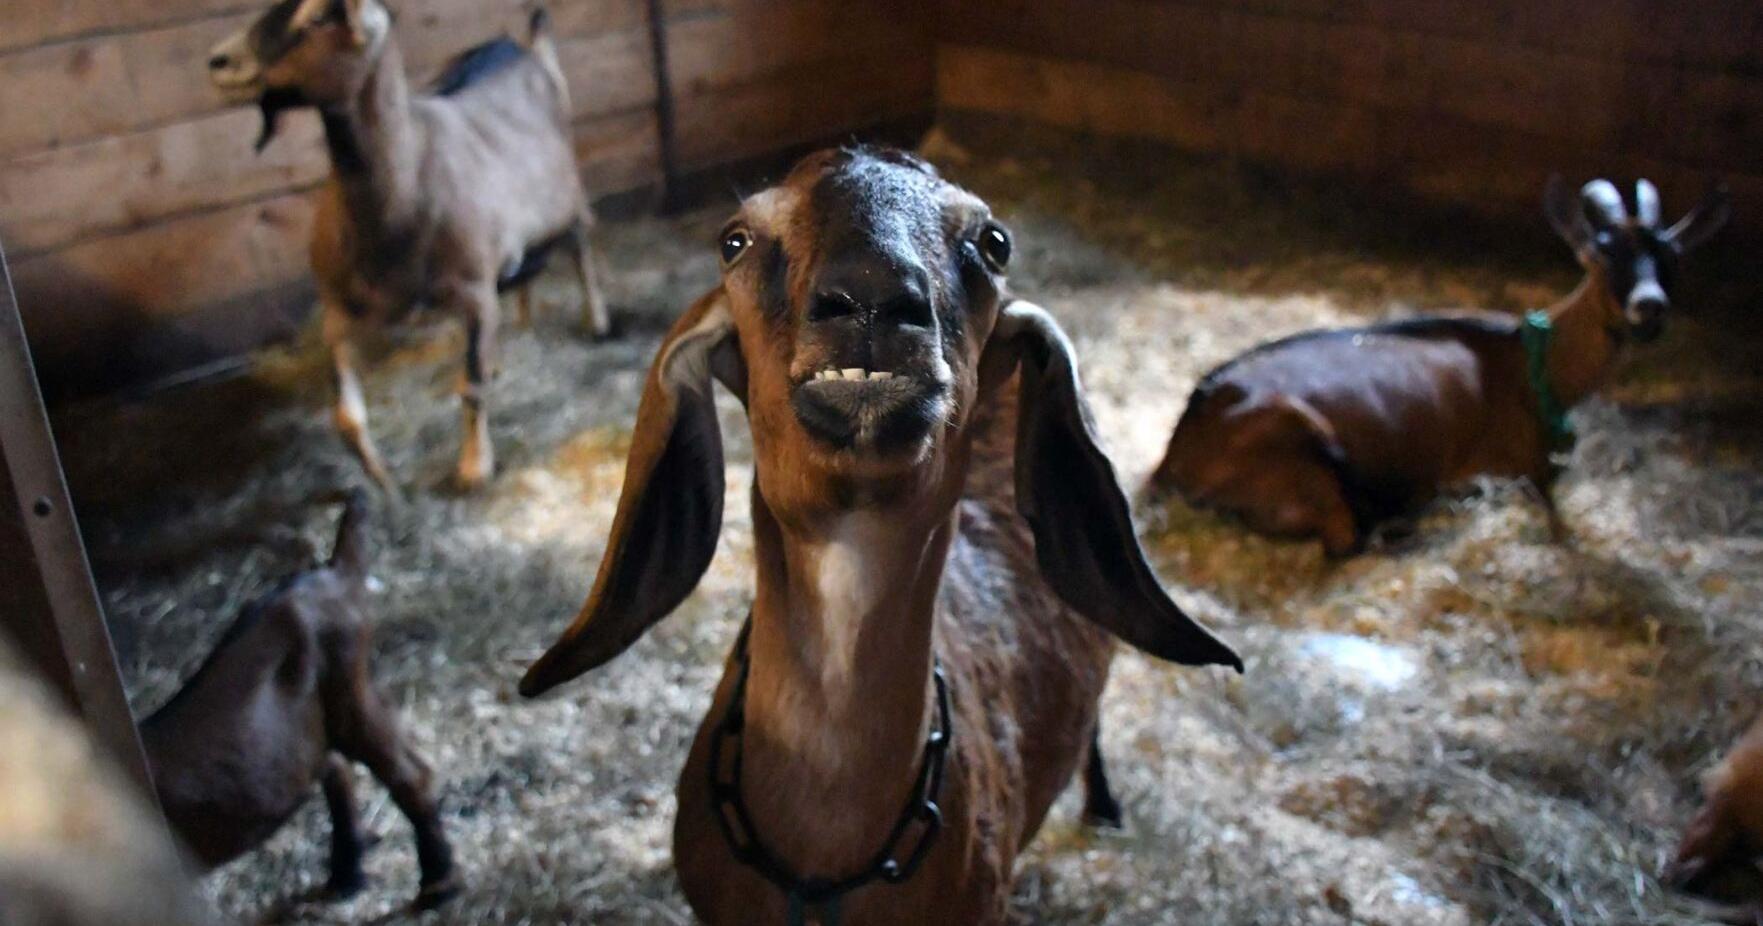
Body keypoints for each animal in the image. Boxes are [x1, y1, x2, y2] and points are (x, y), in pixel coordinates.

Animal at [140, 492, 460, 909]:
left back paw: (439, 883)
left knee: (405, 771)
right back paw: (346, 877)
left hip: (348, 688)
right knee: (337, 766)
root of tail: (333, 571)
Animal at [207, 0, 612, 494]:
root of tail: (526, 48)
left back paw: (596, 320)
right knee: (521, 273)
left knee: (580, 243)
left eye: (317, 19)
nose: (219, 61)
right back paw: (513, 331)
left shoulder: (473, 290)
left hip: (568, 199)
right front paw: (381, 479)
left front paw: (474, 466)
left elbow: (470, 386)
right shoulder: (338, 310)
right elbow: (346, 416)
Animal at [1150, 177, 1729, 555]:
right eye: (1604, 253)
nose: (1649, 308)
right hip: (1301, 451)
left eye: (1671, 258)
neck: (1529, 363)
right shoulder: (1509, 468)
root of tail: (1178, 452)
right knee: (1345, 538)